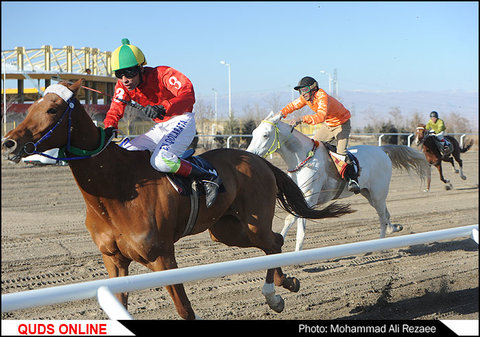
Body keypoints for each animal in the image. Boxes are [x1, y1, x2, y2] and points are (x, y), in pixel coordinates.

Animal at [1, 79, 354, 318]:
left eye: (52, 109)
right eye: (29, 107)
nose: (9, 143)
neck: (116, 189)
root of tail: (257, 160)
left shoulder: (162, 256)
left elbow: (185, 309)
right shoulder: (113, 260)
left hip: (251, 223)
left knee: (272, 242)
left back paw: (274, 292)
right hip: (226, 230)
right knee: (273, 243)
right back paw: (283, 287)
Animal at [246, 112, 430, 249]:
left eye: (265, 135)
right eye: (253, 133)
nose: (250, 156)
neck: (302, 157)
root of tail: (381, 150)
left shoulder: (309, 199)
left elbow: (296, 224)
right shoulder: (298, 198)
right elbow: (293, 222)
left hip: (378, 193)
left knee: (382, 217)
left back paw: (381, 244)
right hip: (369, 193)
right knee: (386, 213)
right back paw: (394, 228)